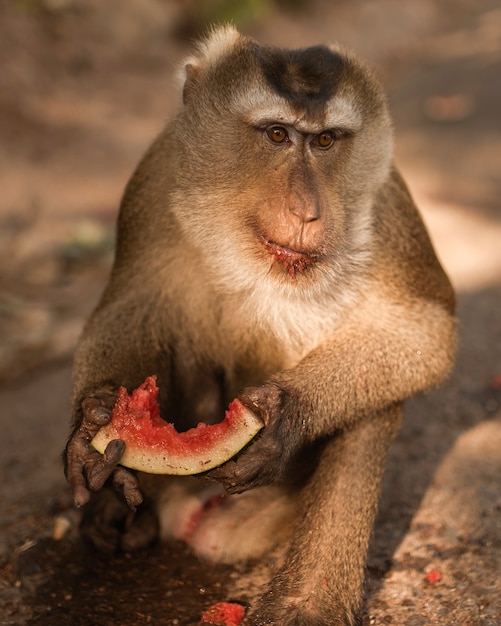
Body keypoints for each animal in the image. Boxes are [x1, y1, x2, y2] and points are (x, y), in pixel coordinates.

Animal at [62, 25, 454, 624]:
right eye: (276, 135)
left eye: (326, 141)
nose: (307, 211)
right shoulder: (155, 173)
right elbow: (132, 307)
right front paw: (95, 418)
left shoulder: (387, 201)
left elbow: (423, 330)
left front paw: (285, 412)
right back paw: (122, 516)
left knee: (374, 400)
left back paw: (306, 602)